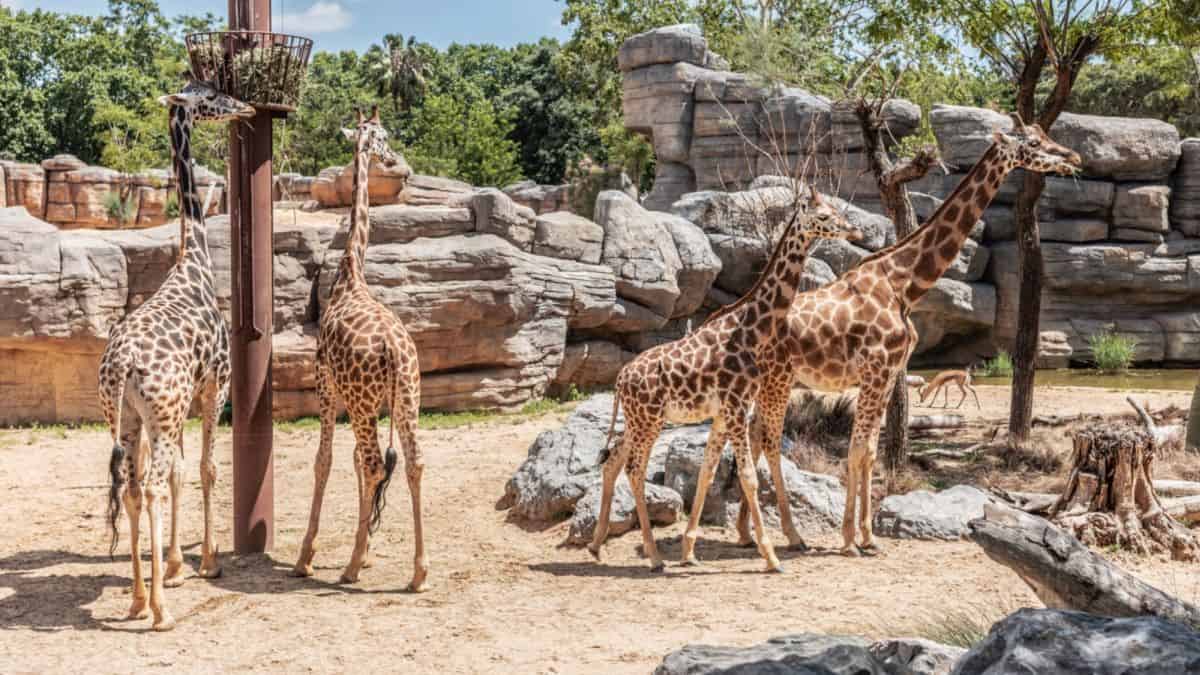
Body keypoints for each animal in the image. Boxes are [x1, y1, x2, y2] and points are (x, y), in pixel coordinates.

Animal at [99, 76, 255, 629]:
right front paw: (206, 562)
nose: (245, 107)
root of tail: (122, 364)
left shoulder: (178, 406)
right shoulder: (215, 385)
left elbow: (183, 473)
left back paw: (137, 599)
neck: (196, 262)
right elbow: (207, 469)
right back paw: (160, 611)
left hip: (125, 417)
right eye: (209, 96)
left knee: (131, 487)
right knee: (150, 485)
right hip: (161, 414)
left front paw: (174, 566)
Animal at [290, 105, 427, 588]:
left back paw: (349, 568)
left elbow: (325, 459)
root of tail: (393, 350)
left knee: (372, 463)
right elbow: (346, 462)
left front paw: (307, 556)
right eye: (381, 135)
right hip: (406, 399)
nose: (391, 158)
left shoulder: (326, 385)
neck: (351, 273)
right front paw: (364, 548)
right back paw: (419, 571)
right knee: (412, 461)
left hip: (364, 403)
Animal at [583, 186, 859, 569]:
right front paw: (771, 557)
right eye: (823, 216)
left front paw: (690, 551)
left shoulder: (724, 411)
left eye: (835, 210)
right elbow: (748, 477)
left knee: (613, 461)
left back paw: (597, 546)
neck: (750, 330)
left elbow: (708, 472)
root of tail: (621, 379)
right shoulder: (736, 405)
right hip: (650, 420)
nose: (853, 231)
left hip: (640, 421)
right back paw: (653, 557)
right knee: (635, 469)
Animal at [734, 112, 1084, 552]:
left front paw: (867, 535)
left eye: (1044, 135)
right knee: (765, 439)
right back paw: (784, 534)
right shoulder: (876, 371)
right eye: (1033, 144)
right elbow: (858, 450)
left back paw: (747, 532)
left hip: (765, 386)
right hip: (777, 382)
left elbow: (870, 450)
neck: (903, 283)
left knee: (754, 436)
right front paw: (851, 538)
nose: (1074, 158)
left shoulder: (887, 375)